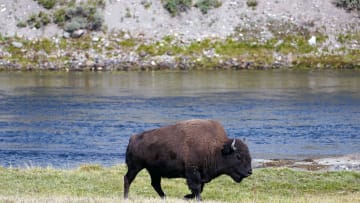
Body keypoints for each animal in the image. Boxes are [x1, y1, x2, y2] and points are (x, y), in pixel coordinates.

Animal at [122, 119, 252, 200]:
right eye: (238, 156)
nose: (249, 171)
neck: (216, 148)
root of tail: (133, 138)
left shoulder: (200, 175)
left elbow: (199, 188)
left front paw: (186, 197)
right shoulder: (193, 172)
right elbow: (197, 188)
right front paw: (197, 199)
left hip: (154, 171)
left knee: (155, 184)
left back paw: (165, 197)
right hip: (135, 167)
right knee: (128, 179)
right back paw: (126, 197)